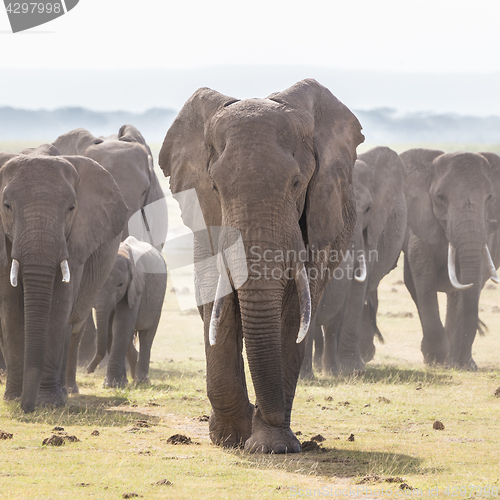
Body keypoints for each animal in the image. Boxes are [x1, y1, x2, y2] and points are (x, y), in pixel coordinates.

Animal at [0, 144, 127, 410]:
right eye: (6, 206)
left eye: (71, 208)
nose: (27, 408)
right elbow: (11, 309)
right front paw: (14, 398)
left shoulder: (77, 239)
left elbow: (58, 307)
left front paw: (48, 402)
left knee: (69, 327)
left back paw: (63, 393)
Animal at [84, 236, 166, 388]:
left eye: (120, 284)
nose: (88, 370)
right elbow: (110, 328)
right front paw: (116, 383)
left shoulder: (135, 289)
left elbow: (121, 324)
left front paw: (112, 385)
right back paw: (133, 376)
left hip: (159, 297)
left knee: (147, 334)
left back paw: (141, 381)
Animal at [160, 78, 364, 454]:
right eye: (215, 187)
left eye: (297, 184)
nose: (262, 411)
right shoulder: (206, 214)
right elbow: (217, 299)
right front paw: (230, 438)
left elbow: (296, 310)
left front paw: (271, 446)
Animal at [402, 147, 500, 368]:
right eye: (440, 197)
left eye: (489, 197)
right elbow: (423, 276)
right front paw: (435, 359)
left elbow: (474, 277)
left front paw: (460, 364)